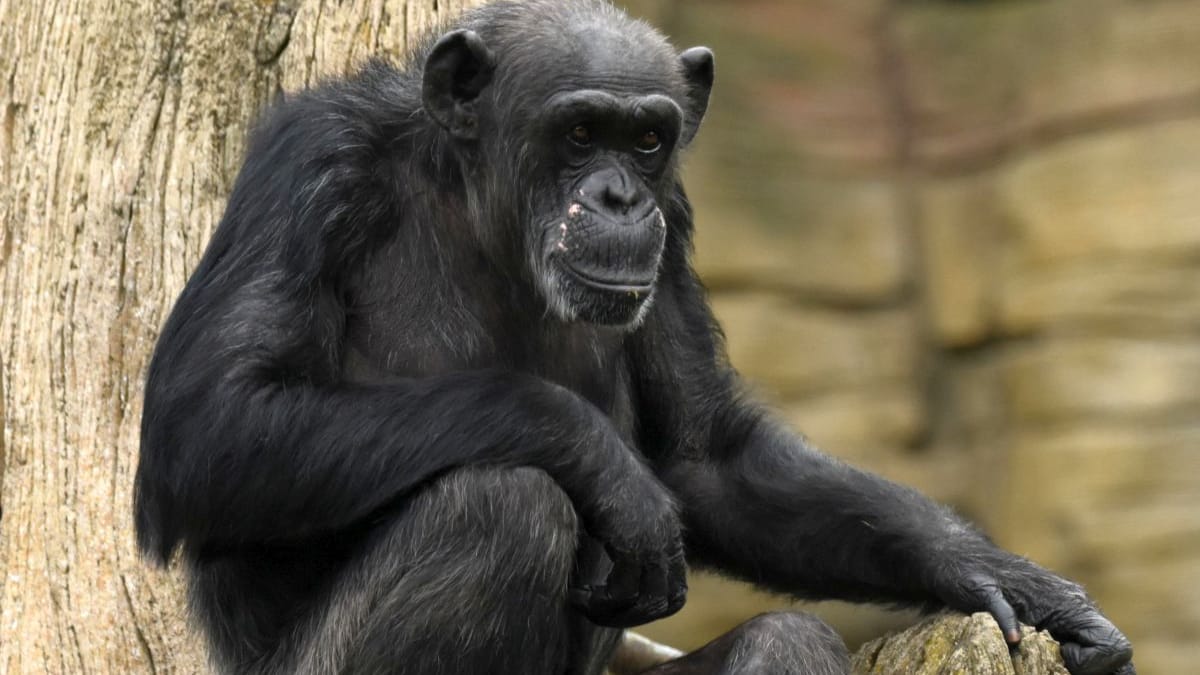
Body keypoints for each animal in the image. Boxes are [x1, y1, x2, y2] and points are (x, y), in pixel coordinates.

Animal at [133, 1, 1132, 672]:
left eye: (648, 139)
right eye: (580, 132)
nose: (619, 195)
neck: (475, 197)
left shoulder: (678, 216)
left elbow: (707, 458)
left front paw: (1007, 579)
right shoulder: (312, 163)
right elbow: (213, 424)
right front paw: (609, 467)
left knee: (789, 633)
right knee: (498, 503)